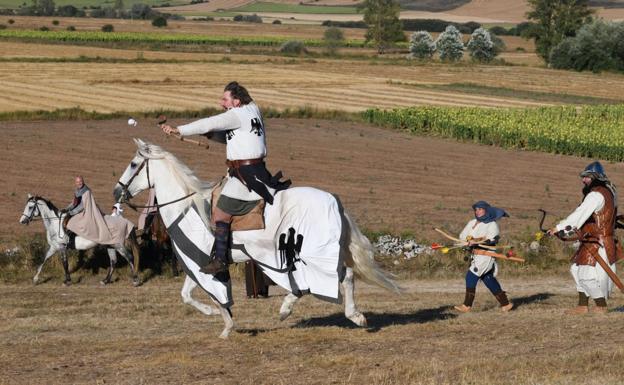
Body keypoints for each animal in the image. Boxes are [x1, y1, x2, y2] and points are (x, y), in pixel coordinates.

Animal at [112, 140, 400, 338]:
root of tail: (334, 200)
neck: (186, 205)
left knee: (335, 277)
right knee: (335, 277)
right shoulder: (200, 262)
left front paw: (225, 324)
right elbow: (186, 294)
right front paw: (218, 318)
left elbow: (210, 294)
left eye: (134, 164)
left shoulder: (200, 260)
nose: (117, 191)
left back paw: (340, 314)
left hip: (311, 253)